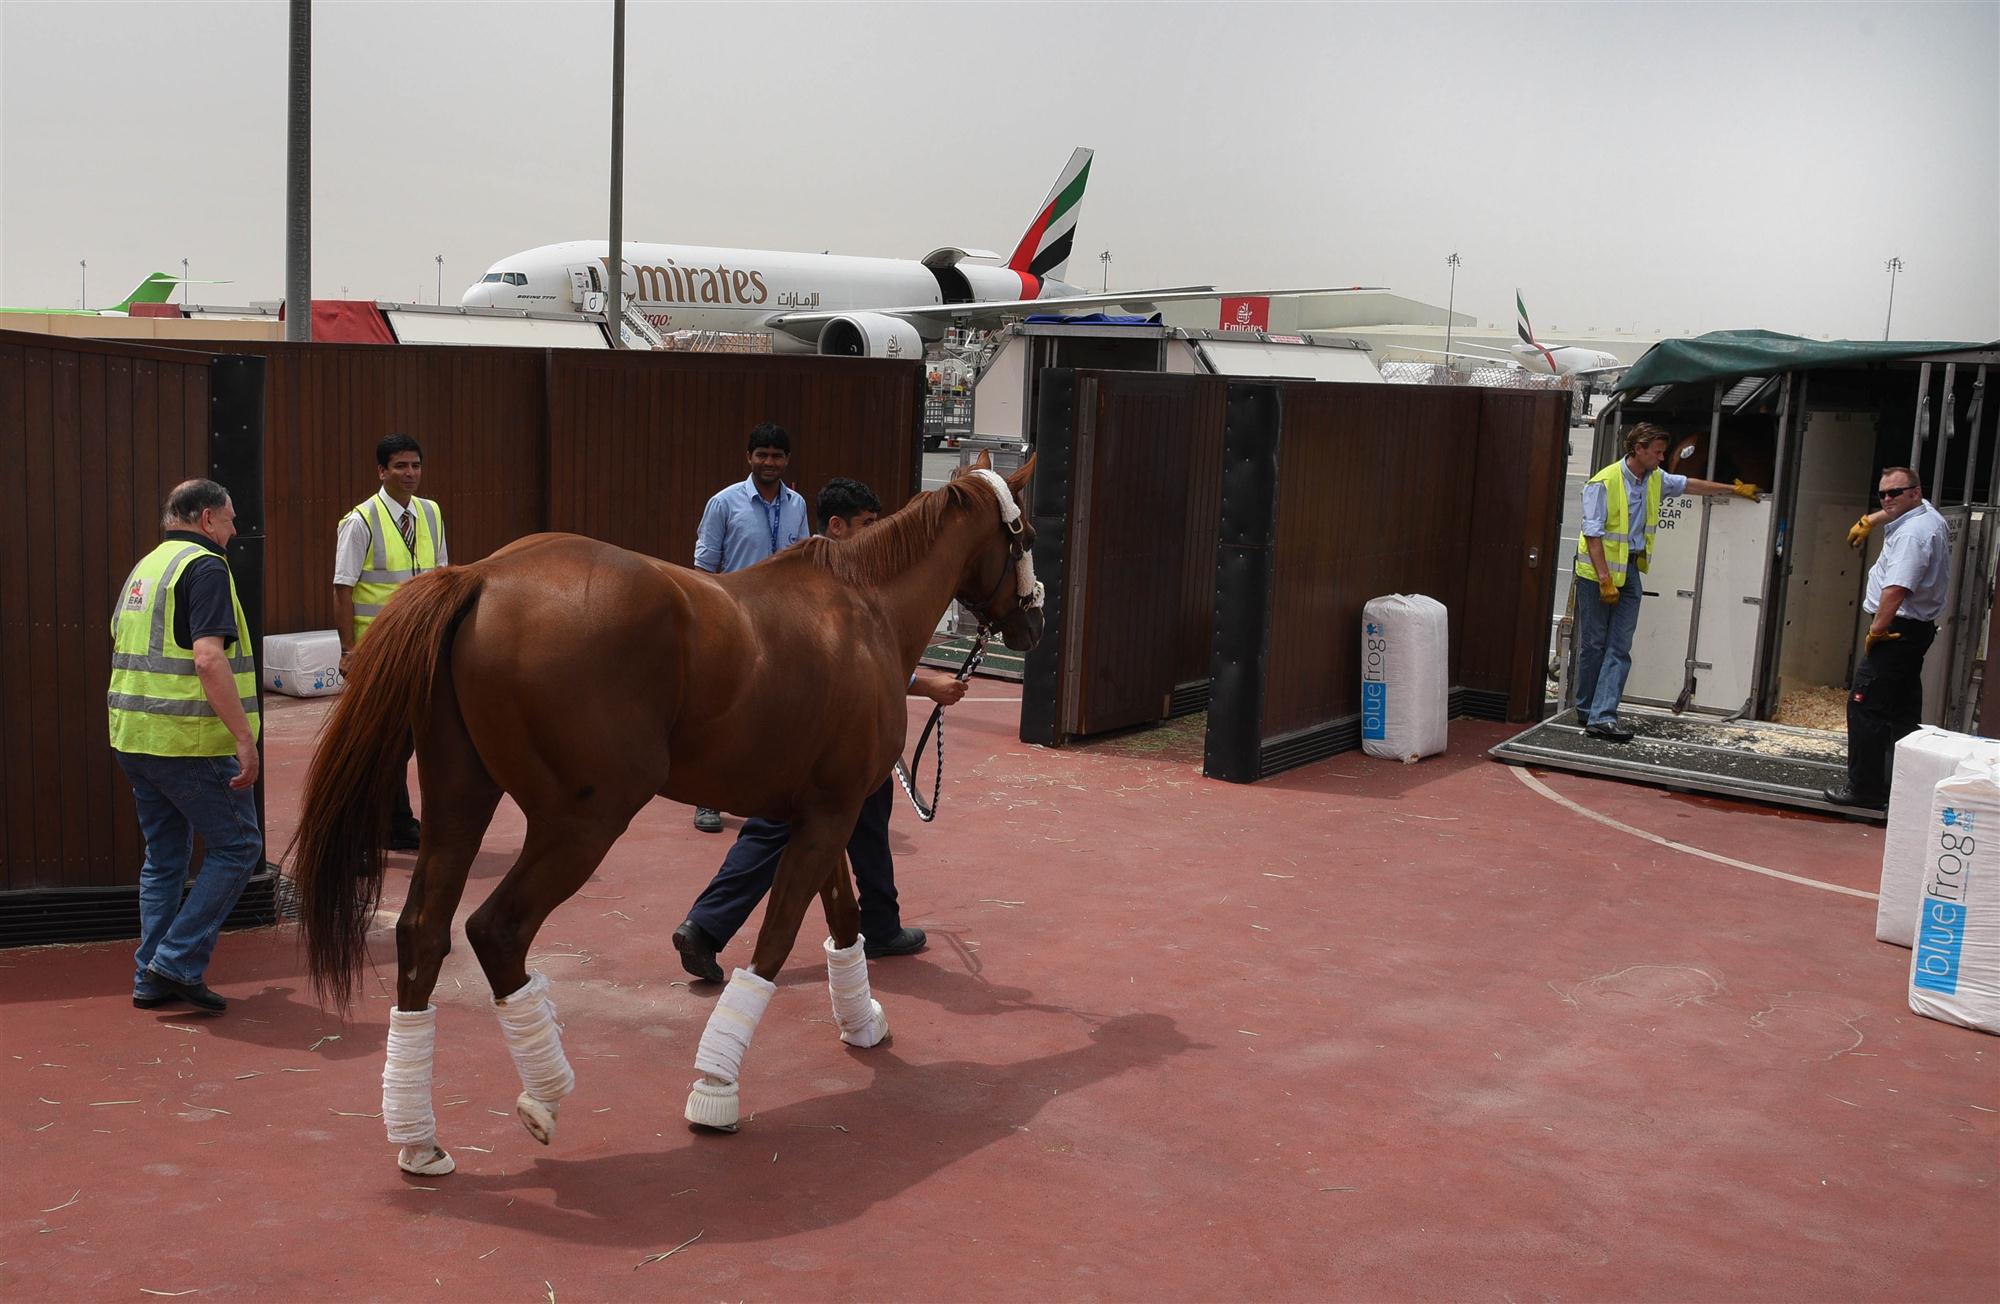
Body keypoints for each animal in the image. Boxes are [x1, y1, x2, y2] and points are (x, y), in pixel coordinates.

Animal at [300, 456, 1048, 1168]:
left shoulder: (817, 812)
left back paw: (419, 1139)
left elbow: (841, 916)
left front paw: (862, 1021)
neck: (865, 613)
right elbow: (777, 941)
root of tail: (481, 576)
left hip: (460, 798)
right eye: (1030, 536)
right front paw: (717, 1088)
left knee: (423, 932)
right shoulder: (832, 812)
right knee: (497, 930)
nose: (1034, 620)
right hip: (584, 820)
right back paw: (545, 1091)